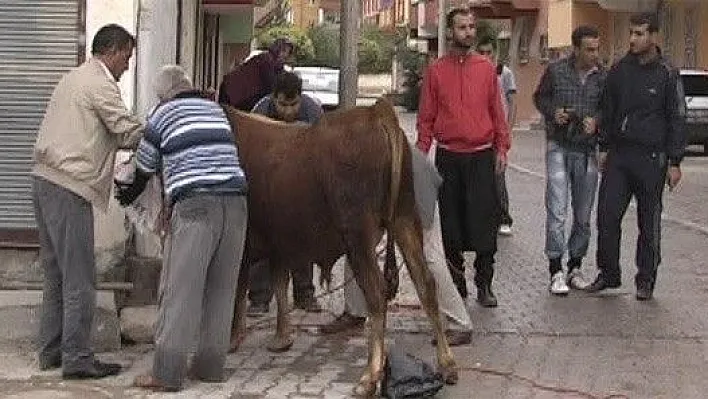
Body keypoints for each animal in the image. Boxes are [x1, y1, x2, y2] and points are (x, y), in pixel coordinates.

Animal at [223, 98, 460, 396]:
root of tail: (374, 112)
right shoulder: (280, 242)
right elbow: (278, 284)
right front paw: (281, 338)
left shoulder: (243, 241)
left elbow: (237, 291)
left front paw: (232, 339)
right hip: (405, 219)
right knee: (425, 284)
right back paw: (447, 364)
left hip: (359, 236)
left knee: (377, 292)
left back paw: (370, 376)